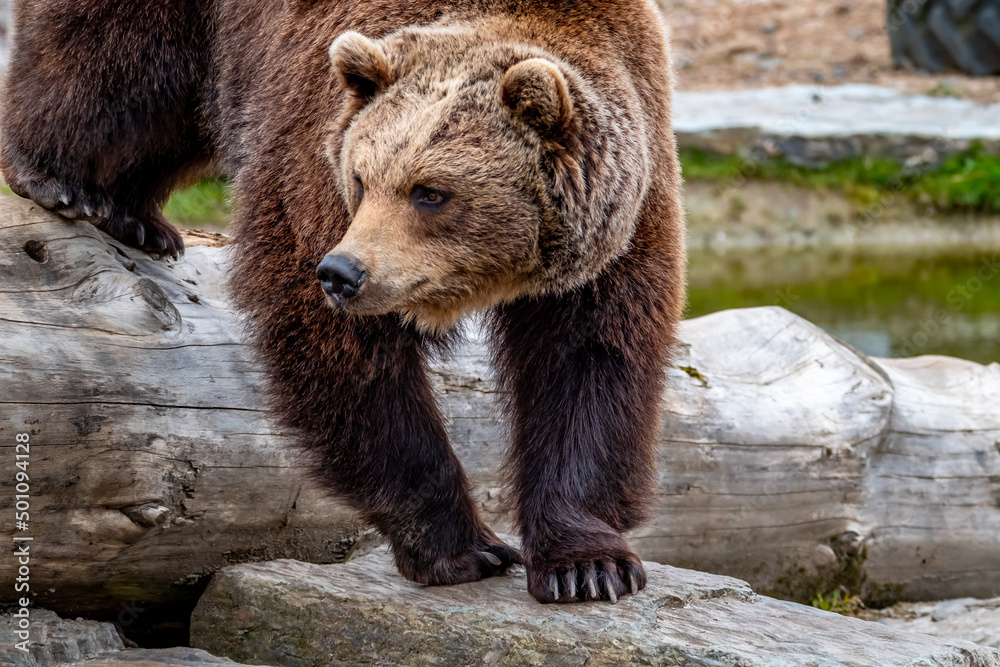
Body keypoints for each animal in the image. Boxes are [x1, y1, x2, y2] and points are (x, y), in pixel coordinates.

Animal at [1, 0, 686, 603]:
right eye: (362, 178)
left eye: (431, 192)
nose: (342, 273)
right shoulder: (316, 157)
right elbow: (347, 358)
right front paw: (462, 547)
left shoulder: (622, 221)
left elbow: (590, 362)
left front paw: (587, 566)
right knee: (118, 60)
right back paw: (62, 181)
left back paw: (136, 218)